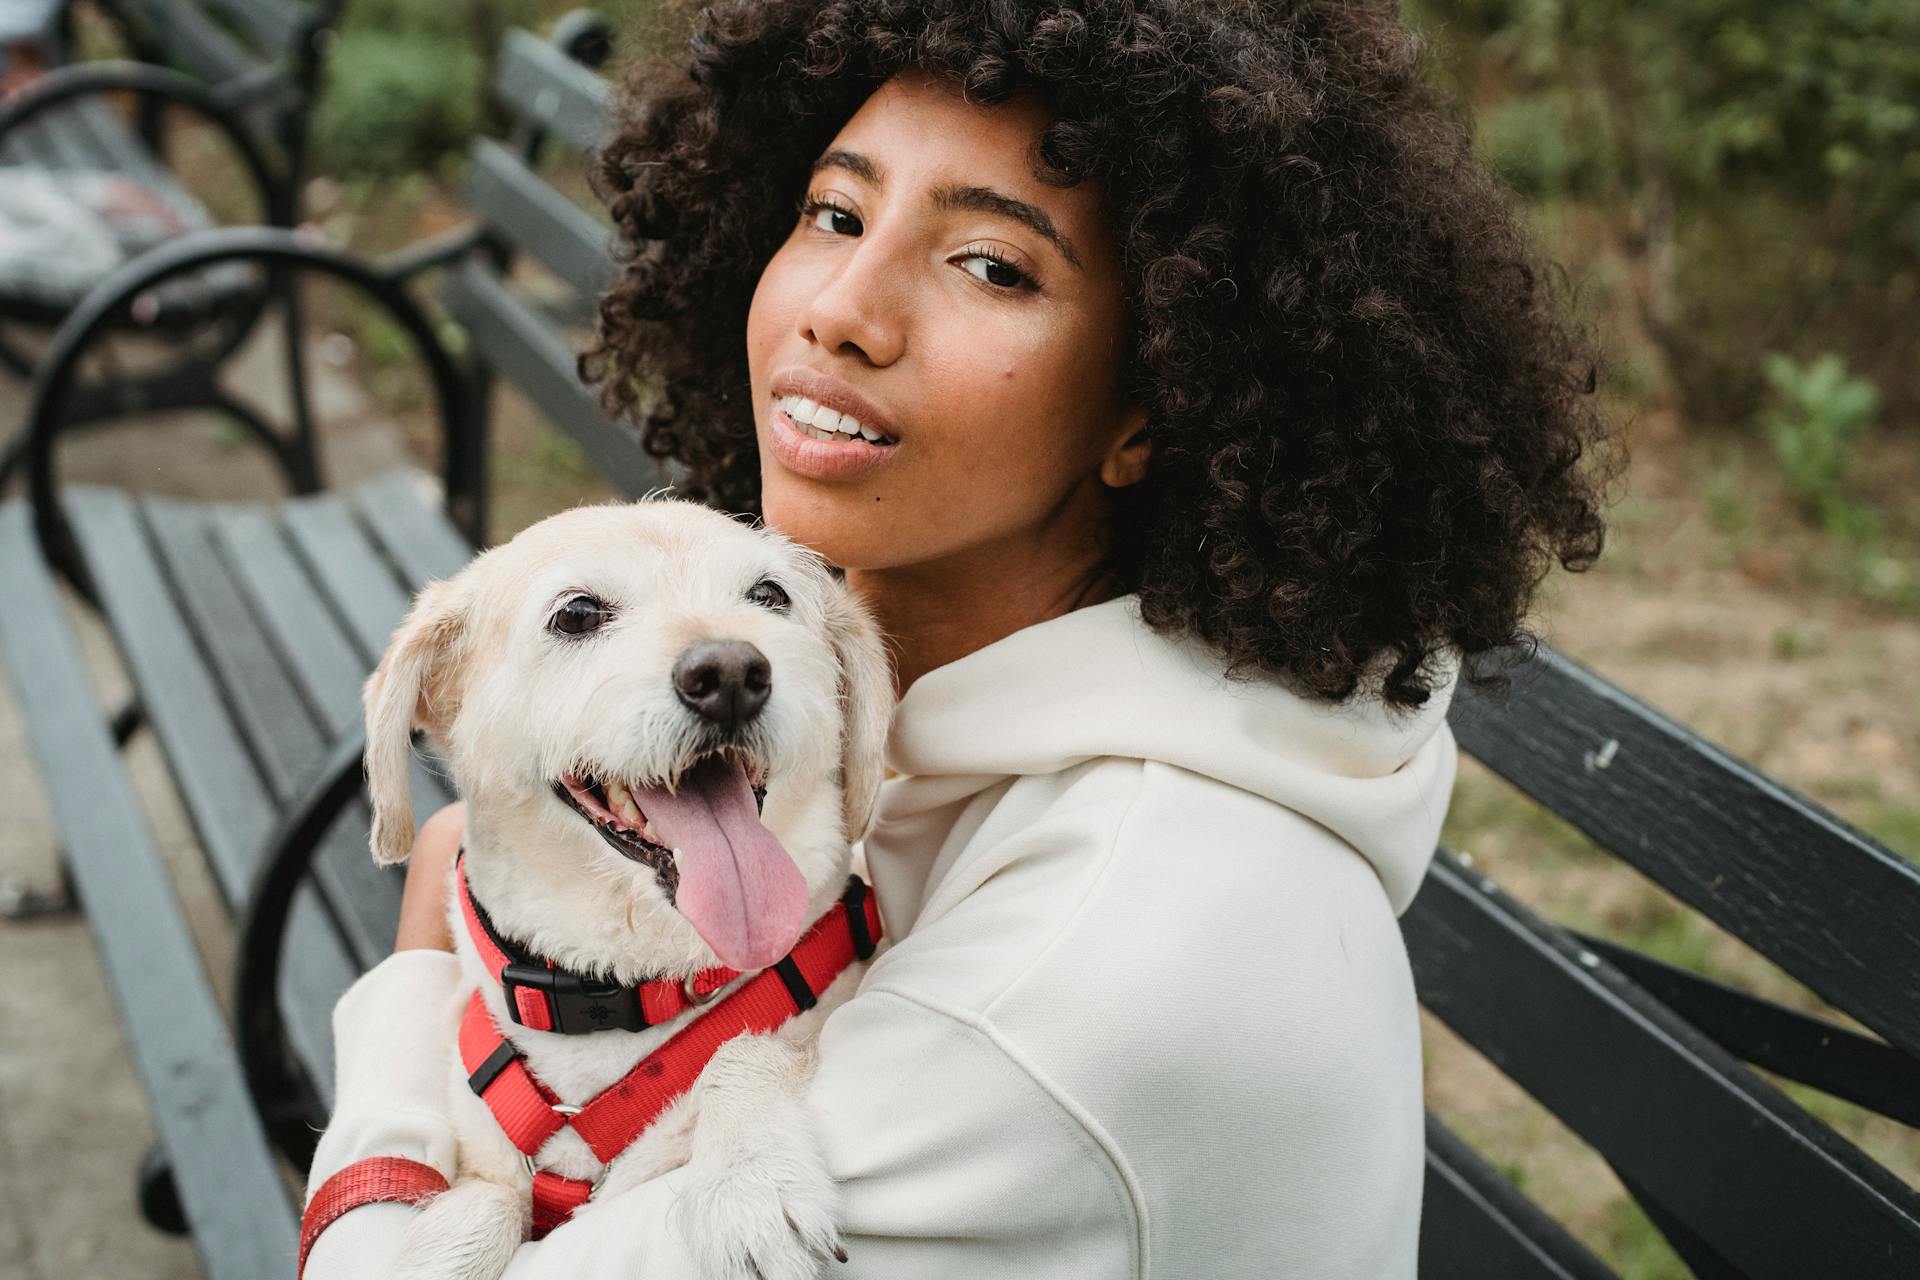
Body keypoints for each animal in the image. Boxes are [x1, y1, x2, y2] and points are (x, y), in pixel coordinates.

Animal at [359, 498, 890, 1280]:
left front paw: (750, 1180)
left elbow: (750, 1050)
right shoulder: (488, 1163)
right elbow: (481, 1201)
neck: (628, 987)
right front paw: (443, 1249)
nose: (731, 672)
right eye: (577, 613)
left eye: (769, 595)